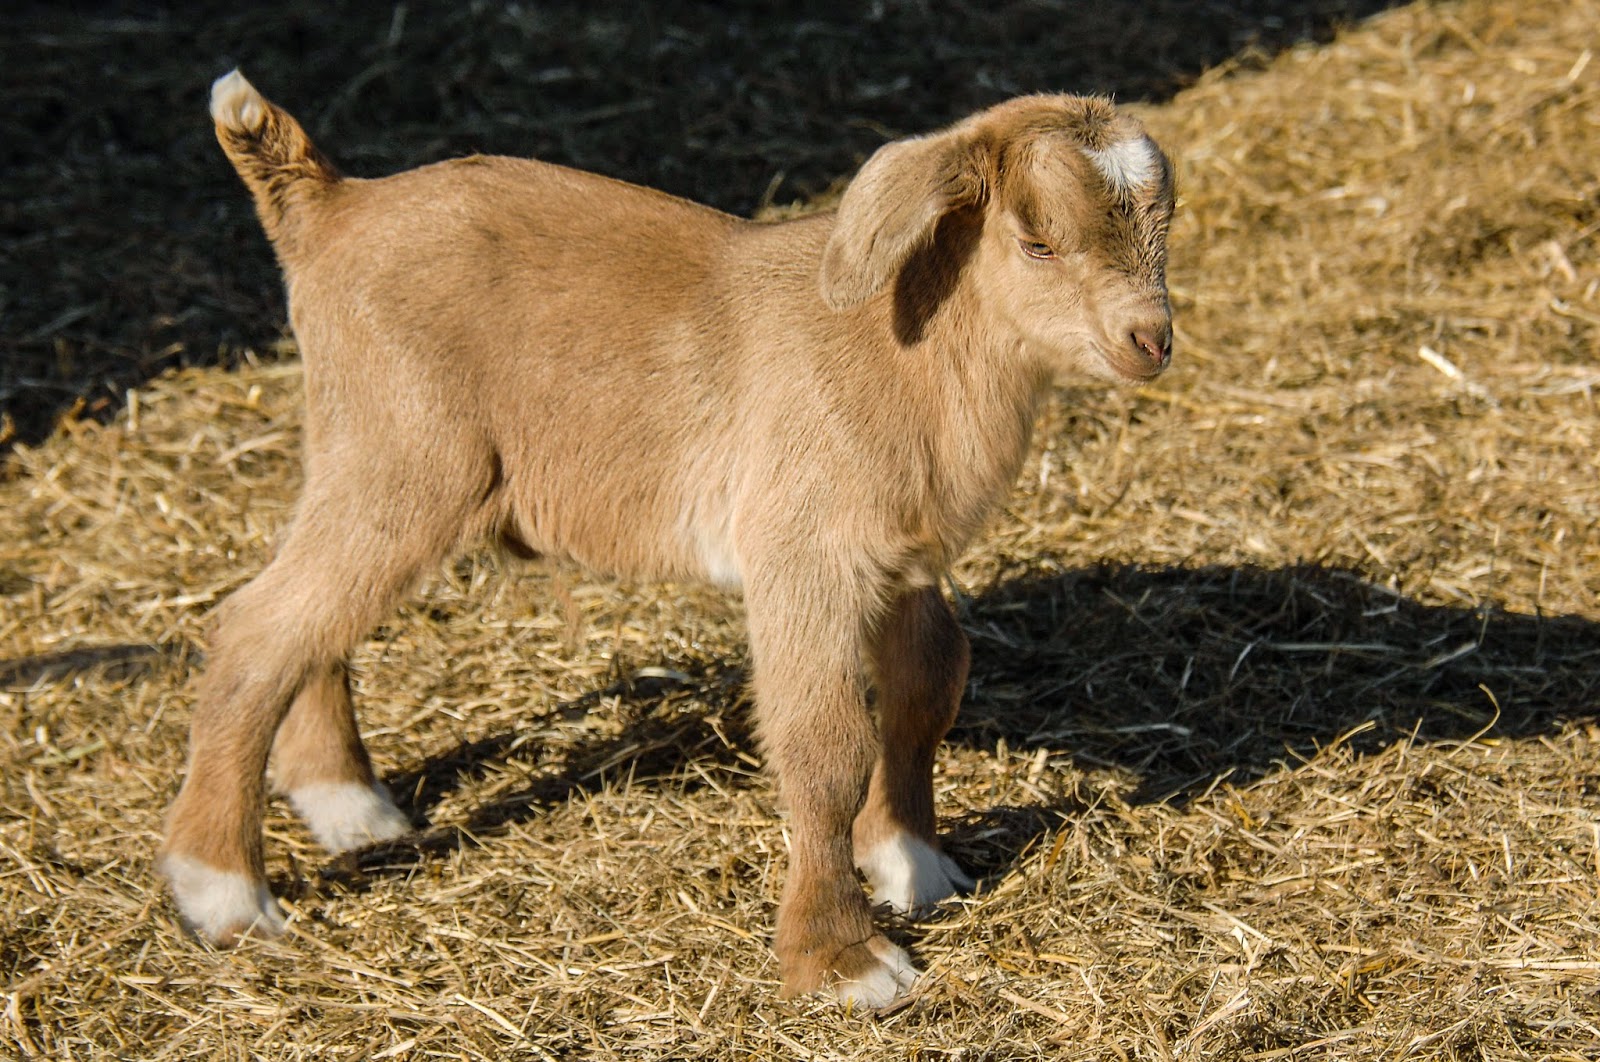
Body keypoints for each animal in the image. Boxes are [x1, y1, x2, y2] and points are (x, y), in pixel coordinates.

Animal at [160, 69, 1175, 1008]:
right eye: (1037, 240)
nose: (1151, 340)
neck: (906, 352)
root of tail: (331, 205)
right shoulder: (802, 551)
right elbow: (825, 744)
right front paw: (844, 960)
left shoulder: (904, 558)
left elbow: (928, 686)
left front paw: (915, 864)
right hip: (404, 453)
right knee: (258, 627)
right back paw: (224, 893)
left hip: (358, 448)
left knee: (307, 618)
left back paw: (347, 806)